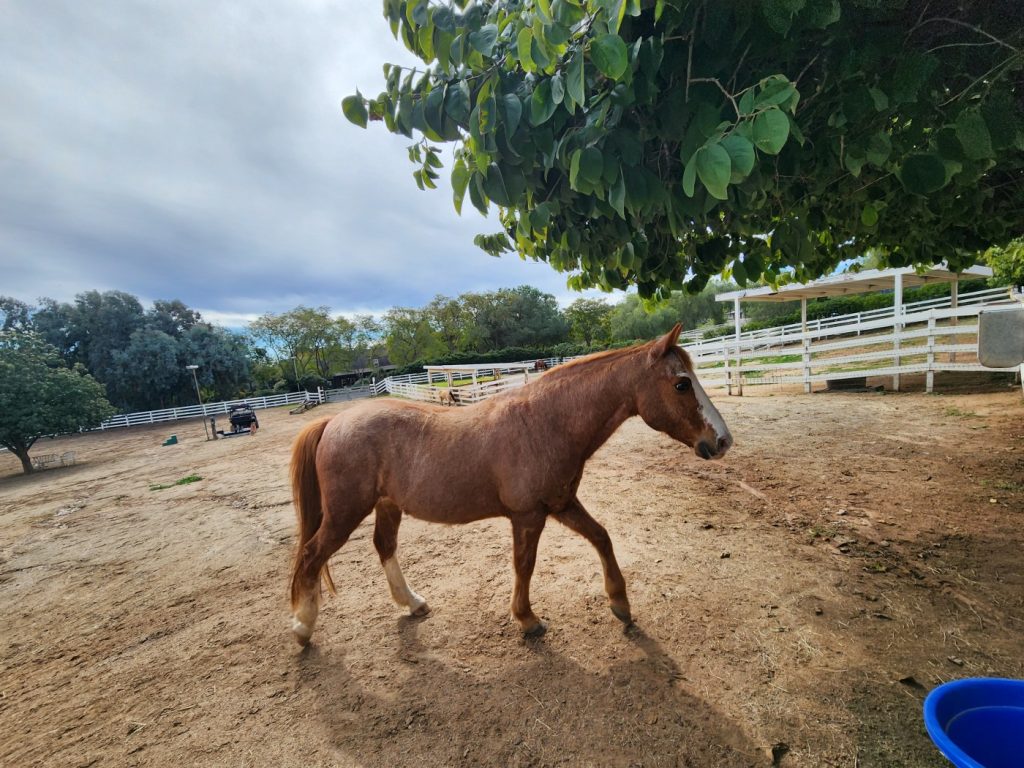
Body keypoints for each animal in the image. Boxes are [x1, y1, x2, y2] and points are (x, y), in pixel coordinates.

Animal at [289, 324, 732, 645]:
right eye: (681, 384)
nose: (723, 440)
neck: (544, 422)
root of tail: (333, 421)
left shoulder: (562, 504)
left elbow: (602, 538)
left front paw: (620, 604)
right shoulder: (528, 515)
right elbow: (524, 564)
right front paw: (528, 619)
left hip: (387, 506)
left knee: (384, 547)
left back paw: (412, 603)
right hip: (345, 513)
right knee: (312, 555)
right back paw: (304, 627)